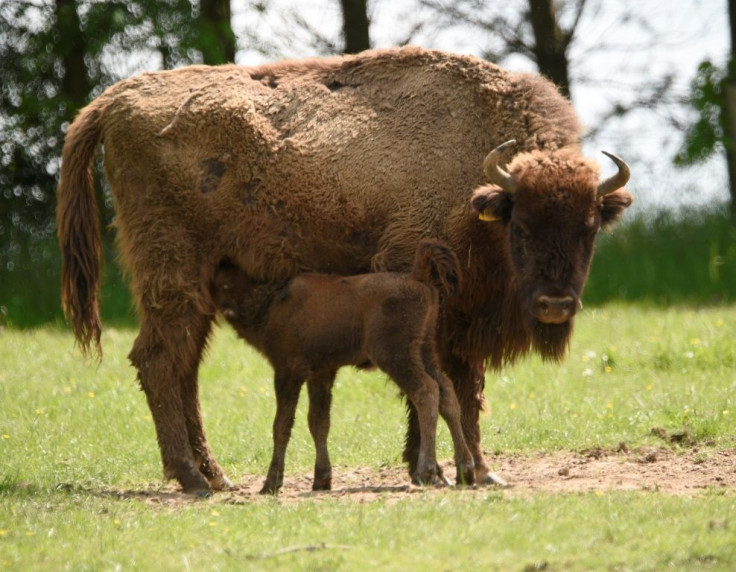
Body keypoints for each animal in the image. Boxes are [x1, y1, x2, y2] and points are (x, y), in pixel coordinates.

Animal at [211, 237, 478, 492]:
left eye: (222, 282)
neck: (272, 300)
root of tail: (417, 276)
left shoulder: (288, 372)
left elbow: (282, 425)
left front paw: (271, 484)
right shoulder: (321, 373)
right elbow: (318, 421)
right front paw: (321, 480)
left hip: (396, 356)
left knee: (426, 391)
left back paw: (426, 471)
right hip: (424, 351)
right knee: (446, 392)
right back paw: (465, 470)